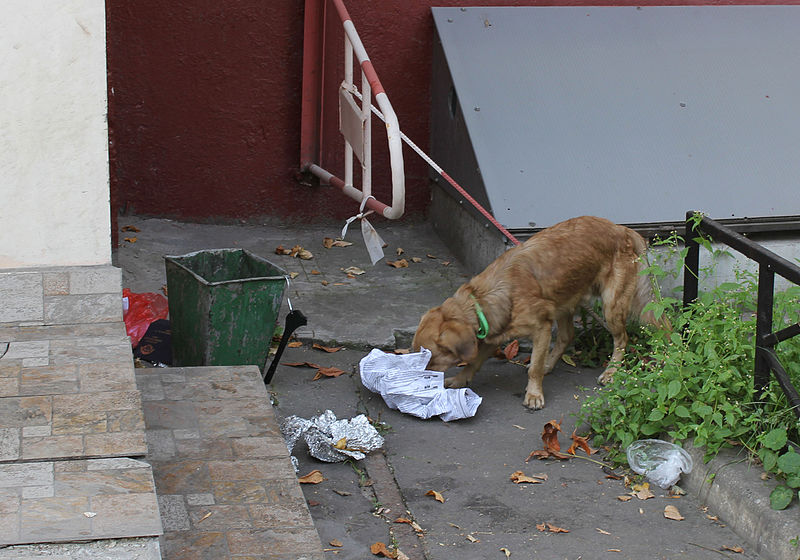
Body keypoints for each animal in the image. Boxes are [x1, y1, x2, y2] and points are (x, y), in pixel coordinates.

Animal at [412, 217, 664, 410]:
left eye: (429, 358)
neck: (482, 298)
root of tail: (621, 229)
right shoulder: (493, 334)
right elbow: (474, 362)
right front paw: (460, 379)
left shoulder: (541, 329)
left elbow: (533, 370)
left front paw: (534, 394)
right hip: (563, 300)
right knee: (567, 336)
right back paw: (549, 364)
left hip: (611, 308)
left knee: (621, 339)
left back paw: (611, 371)